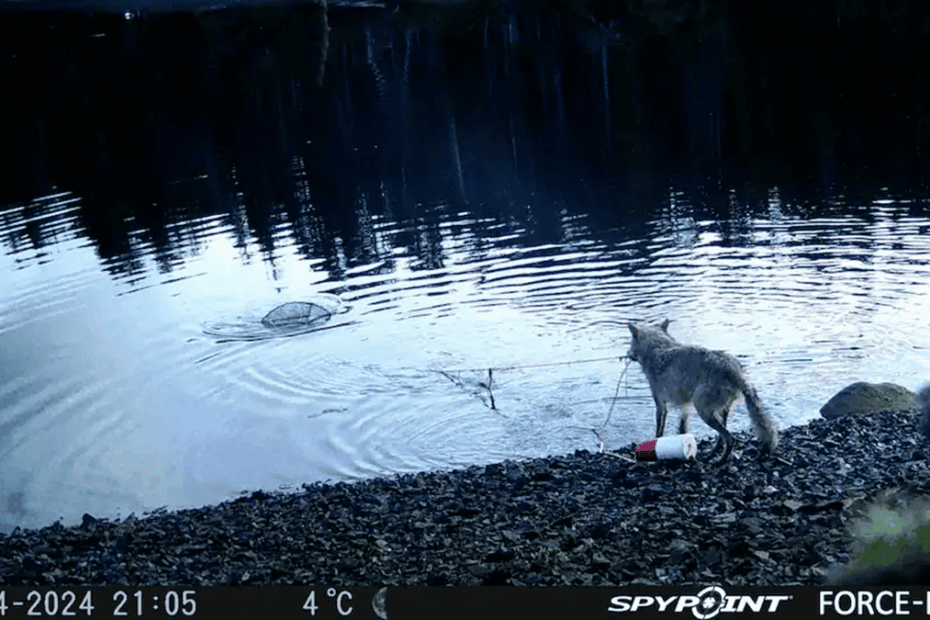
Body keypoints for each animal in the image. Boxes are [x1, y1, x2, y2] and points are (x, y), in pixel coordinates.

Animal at [626, 320, 778, 463]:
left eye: (630, 343)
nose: (626, 354)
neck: (659, 348)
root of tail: (736, 371)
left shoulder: (660, 404)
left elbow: (659, 429)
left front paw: (656, 443)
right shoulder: (685, 406)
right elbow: (682, 428)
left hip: (703, 410)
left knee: (730, 437)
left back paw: (720, 461)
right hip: (719, 411)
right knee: (722, 436)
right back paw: (713, 452)